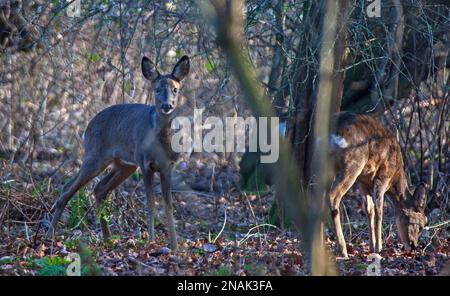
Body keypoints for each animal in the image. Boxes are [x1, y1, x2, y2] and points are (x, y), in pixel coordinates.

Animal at [48, 55, 192, 250]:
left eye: (175, 89)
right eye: (156, 89)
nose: (167, 105)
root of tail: (87, 128)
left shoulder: (167, 166)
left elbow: (168, 206)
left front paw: (174, 246)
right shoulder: (145, 164)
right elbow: (151, 204)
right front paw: (151, 241)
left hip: (124, 164)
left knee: (98, 188)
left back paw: (107, 238)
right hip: (96, 156)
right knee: (67, 189)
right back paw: (49, 235)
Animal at [328, 112, 428, 258]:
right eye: (420, 226)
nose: (413, 246)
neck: (396, 174)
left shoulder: (363, 181)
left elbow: (369, 209)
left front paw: (371, 246)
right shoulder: (383, 177)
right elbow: (379, 210)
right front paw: (378, 248)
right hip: (352, 163)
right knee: (333, 195)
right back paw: (342, 249)